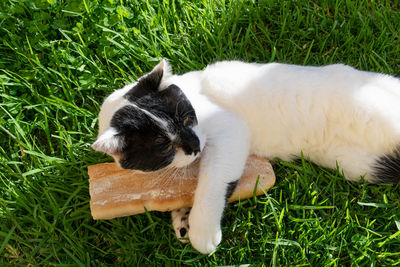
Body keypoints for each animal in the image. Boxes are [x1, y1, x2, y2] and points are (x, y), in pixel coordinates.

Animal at [91, 60, 400, 255]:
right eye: (164, 148)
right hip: (360, 165)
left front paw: (202, 230)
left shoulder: (231, 129)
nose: (195, 146)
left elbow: (212, 183)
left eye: (188, 118)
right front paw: (182, 220)